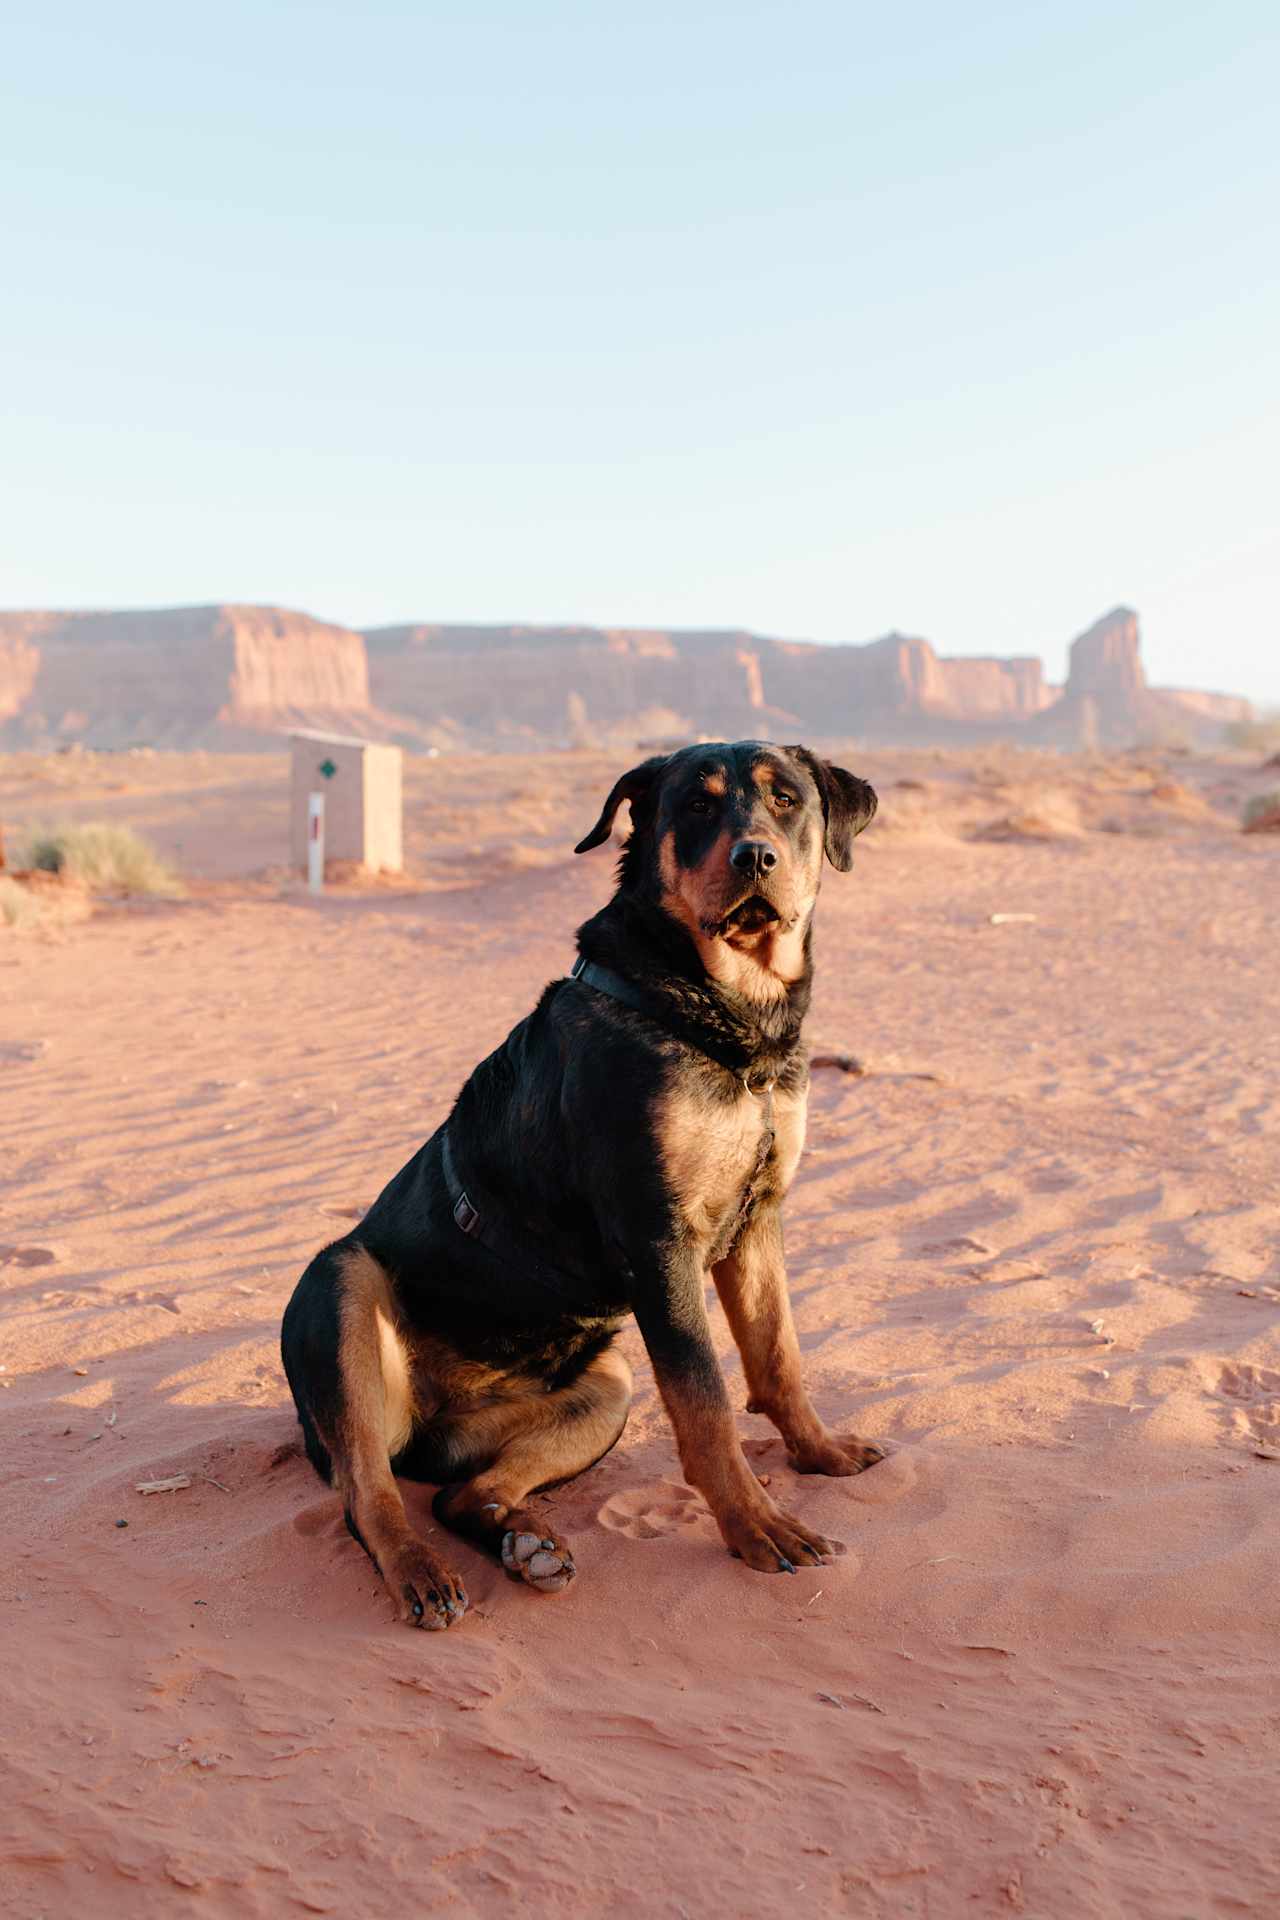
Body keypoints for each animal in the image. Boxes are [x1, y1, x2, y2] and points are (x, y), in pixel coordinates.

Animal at [278, 741, 882, 1628]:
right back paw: (422, 1572)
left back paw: (526, 1544)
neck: (728, 1018)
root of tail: (431, 1424)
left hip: (604, 1391)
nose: (756, 858)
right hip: (341, 1284)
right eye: (697, 807)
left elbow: (779, 1358)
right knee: (368, 1493)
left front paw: (819, 1452)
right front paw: (759, 1527)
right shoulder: (658, 1239)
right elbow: (706, 1407)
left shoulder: (759, 1220)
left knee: (460, 1494)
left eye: (787, 800)